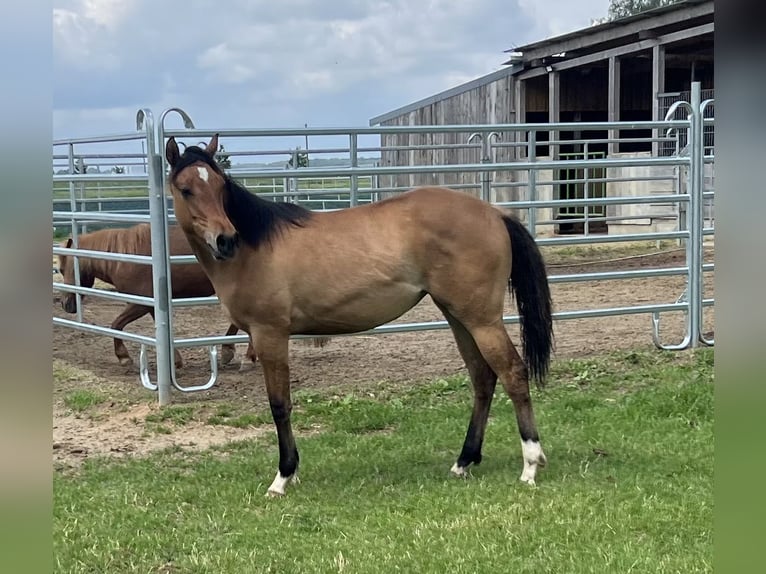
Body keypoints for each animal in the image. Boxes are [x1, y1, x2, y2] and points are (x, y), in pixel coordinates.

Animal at [165, 135, 554, 497]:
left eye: (220, 186)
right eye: (186, 189)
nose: (225, 239)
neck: (255, 249)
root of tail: (494, 212)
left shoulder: (269, 334)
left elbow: (279, 405)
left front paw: (283, 476)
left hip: (481, 320)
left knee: (512, 373)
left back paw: (530, 465)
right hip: (458, 316)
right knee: (482, 378)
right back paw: (463, 461)